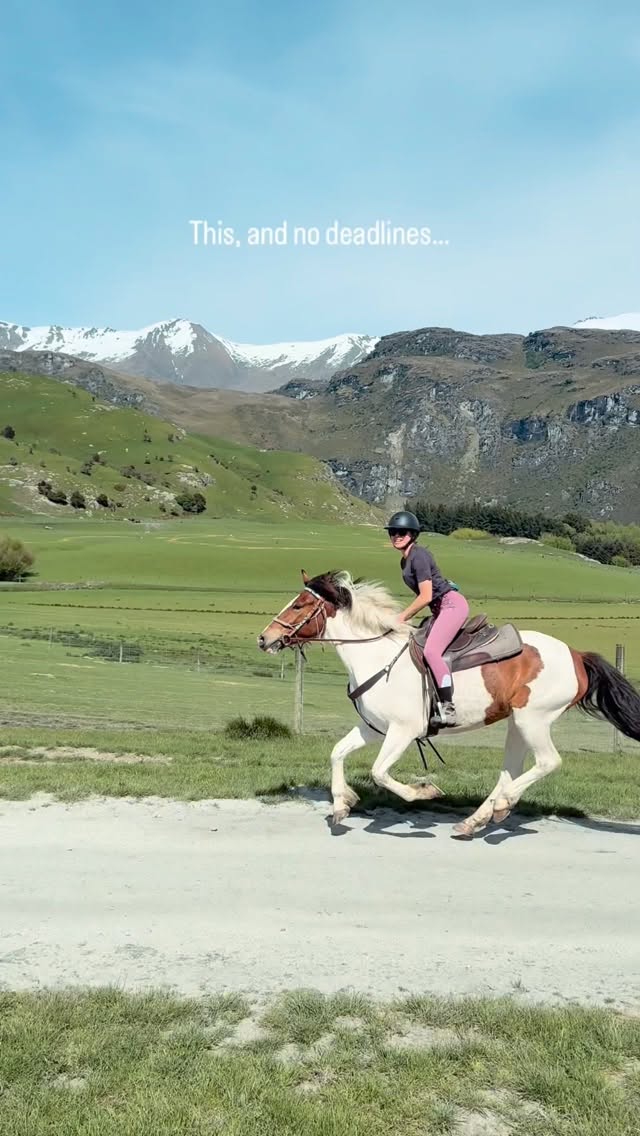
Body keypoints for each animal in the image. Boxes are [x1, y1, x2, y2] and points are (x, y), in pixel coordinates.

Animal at [257, 568, 640, 838]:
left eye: (299, 605)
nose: (265, 638)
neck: (375, 655)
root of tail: (576, 656)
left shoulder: (402, 731)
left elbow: (380, 772)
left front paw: (424, 791)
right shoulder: (374, 729)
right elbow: (337, 753)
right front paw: (341, 803)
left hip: (534, 719)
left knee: (547, 762)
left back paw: (501, 806)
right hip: (517, 722)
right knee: (511, 770)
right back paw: (477, 820)